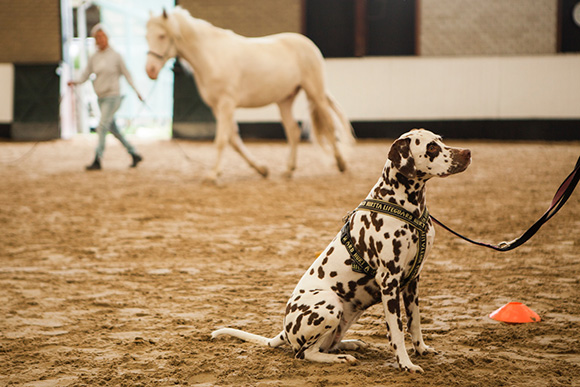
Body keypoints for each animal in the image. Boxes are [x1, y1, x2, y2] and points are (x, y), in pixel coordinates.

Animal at [145, 6, 354, 182]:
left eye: (162, 36)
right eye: (147, 36)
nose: (150, 70)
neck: (212, 56)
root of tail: (308, 44)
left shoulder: (226, 104)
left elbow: (221, 140)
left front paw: (212, 175)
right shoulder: (216, 108)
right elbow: (233, 140)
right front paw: (261, 169)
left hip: (315, 93)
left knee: (328, 127)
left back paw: (341, 164)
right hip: (285, 100)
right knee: (293, 131)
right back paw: (288, 170)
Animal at [213, 130, 472, 372]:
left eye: (440, 140)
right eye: (431, 147)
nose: (468, 152)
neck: (405, 207)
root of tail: (285, 331)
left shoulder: (413, 281)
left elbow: (415, 323)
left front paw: (421, 350)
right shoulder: (389, 282)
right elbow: (397, 331)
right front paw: (405, 364)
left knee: (325, 345)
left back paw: (350, 344)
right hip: (329, 304)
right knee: (305, 353)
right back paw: (340, 358)